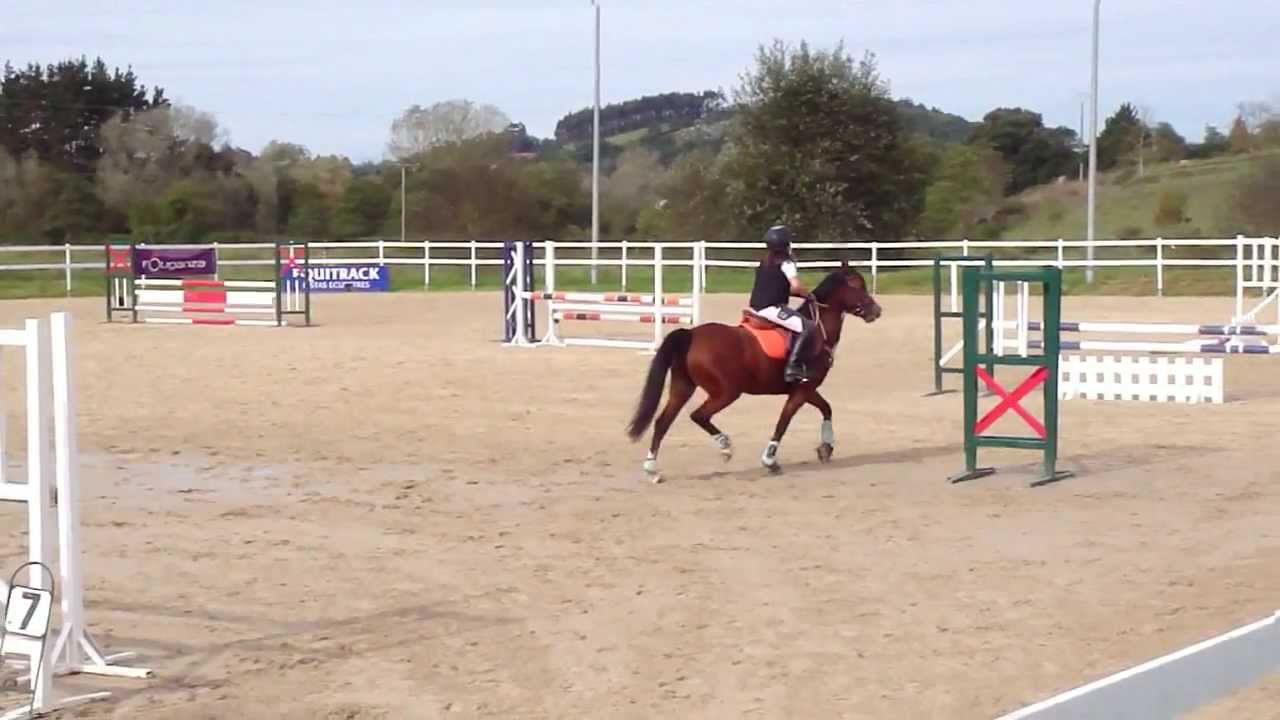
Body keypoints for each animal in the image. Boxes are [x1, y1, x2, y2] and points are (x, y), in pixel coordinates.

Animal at [624, 261, 882, 482]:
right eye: (857, 285)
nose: (876, 311)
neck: (818, 331)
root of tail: (692, 334)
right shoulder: (802, 390)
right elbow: (783, 422)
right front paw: (770, 461)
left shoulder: (807, 388)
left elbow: (826, 408)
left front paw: (826, 448)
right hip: (726, 393)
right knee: (698, 415)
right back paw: (725, 447)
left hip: (683, 388)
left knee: (662, 422)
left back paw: (652, 470)